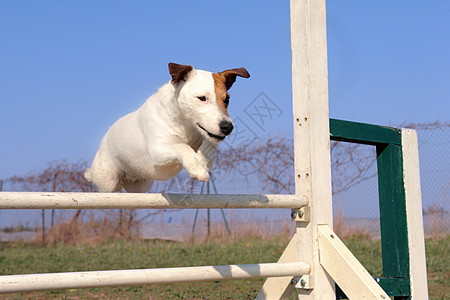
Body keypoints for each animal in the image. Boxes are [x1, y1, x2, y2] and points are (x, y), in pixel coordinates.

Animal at [83, 63, 250, 192]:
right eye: (202, 98)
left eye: (227, 99)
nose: (227, 127)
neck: (185, 126)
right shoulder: (158, 149)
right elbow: (182, 147)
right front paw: (197, 168)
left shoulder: (206, 137)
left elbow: (208, 146)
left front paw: (202, 161)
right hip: (108, 181)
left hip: (140, 186)